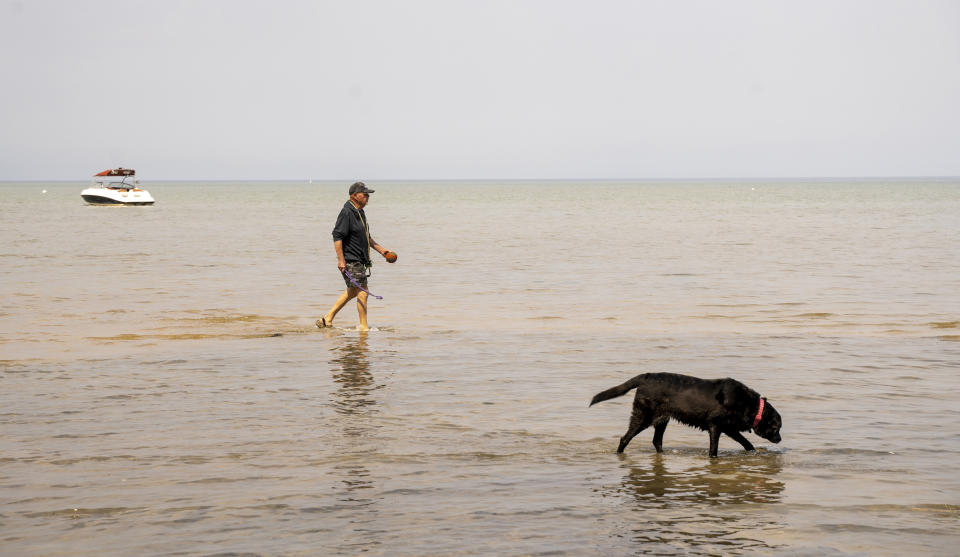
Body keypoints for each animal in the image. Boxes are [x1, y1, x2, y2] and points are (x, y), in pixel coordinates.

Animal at [592, 374, 780, 456]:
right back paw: (618, 454)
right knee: (625, 438)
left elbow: (746, 442)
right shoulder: (715, 426)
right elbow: (714, 448)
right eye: (777, 427)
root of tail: (644, 378)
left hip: (662, 419)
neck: (750, 404)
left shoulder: (729, 428)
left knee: (656, 441)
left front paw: (753, 452)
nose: (779, 439)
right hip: (643, 416)